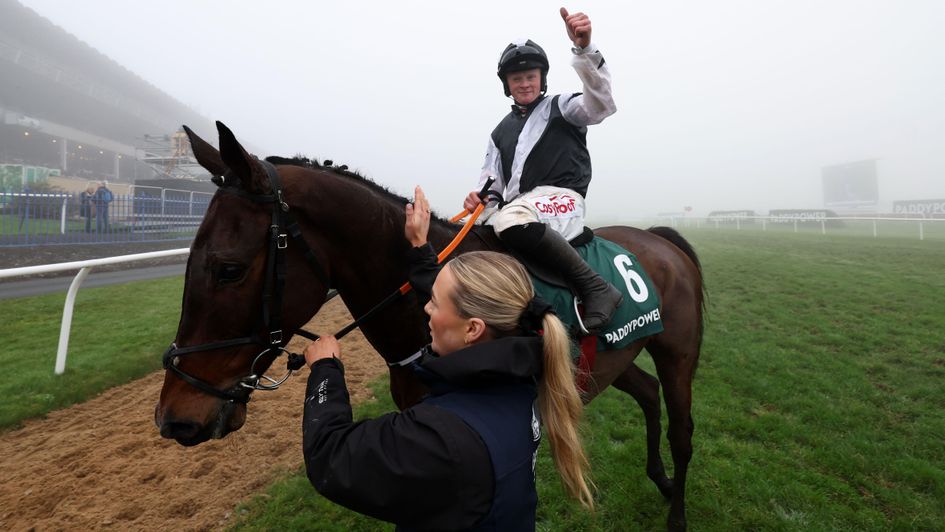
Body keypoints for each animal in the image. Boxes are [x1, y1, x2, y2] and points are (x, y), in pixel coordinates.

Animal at [153, 121, 700, 532]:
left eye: (228, 269)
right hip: (610, 360)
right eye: (187, 261)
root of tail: (661, 239)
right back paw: (661, 480)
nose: (174, 417)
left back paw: (677, 512)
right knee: (648, 393)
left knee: (682, 429)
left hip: (678, 353)